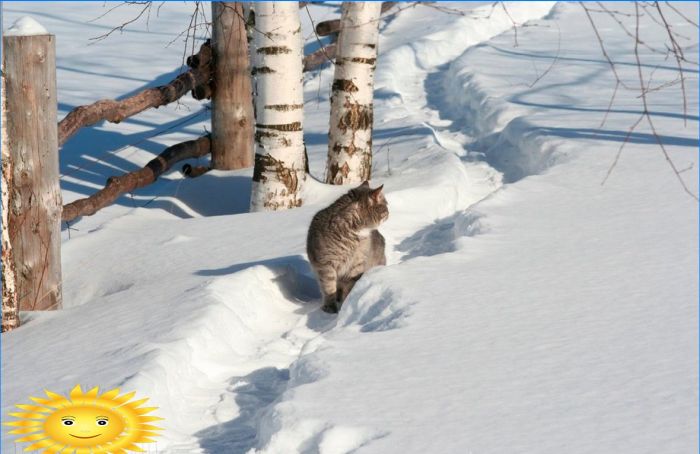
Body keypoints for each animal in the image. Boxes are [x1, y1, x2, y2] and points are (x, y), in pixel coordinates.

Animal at [306, 180, 388, 312]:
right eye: (385, 205)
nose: (389, 212)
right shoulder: (325, 265)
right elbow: (329, 288)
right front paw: (330, 307)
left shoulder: (355, 266)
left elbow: (348, 288)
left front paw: (345, 304)